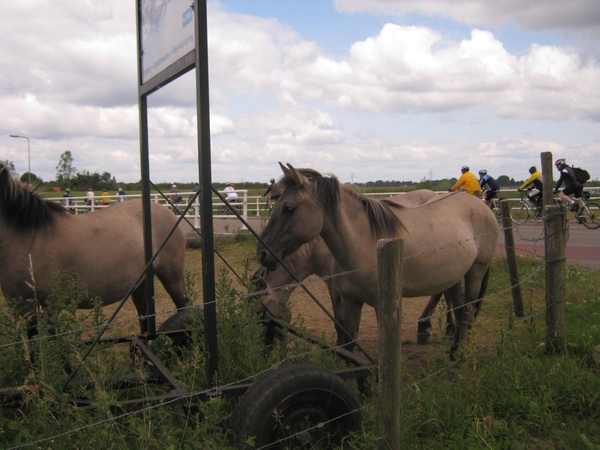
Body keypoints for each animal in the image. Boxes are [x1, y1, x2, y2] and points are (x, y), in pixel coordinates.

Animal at [0, 162, 188, 334]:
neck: (29, 236)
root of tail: (167, 211)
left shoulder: (33, 307)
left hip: (171, 276)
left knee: (183, 307)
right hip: (141, 282)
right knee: (145, 314)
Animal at [256, 163, 496, 356]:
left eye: (289, 208)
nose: (262, 253)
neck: (364, 242)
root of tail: (480, 206)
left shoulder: (377, 305)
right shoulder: (351, 300)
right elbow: (349, 338)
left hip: (475, 272)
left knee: (467, 309)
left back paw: (455, 352)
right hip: (452, 274)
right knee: (457, 304)